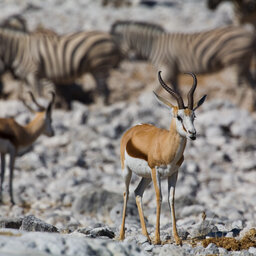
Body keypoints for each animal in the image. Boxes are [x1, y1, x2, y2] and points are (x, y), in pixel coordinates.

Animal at [110, 20, 256, 93]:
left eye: (114, 48)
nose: (114, 67)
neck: (153, 45)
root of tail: (249, 33)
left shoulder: (167, 69)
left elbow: (149, 89)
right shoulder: (173, 72)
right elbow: (176, 91)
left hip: (235, 63)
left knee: (241, 88)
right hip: (245, 63)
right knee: (251, 86)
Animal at [120, 71, 206, 245]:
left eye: (194, 116)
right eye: (178, 116)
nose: (192, 133)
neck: (167, 148)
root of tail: (134, 128)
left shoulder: (174, 173)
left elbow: (171, 199)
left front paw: (177, 238)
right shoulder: (156, 171)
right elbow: (159, 198)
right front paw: (158, 238)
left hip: (146, 176)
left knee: (137, 193)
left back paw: (146, 235)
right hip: (128, 171)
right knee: (126, 193)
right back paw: (121, 236)